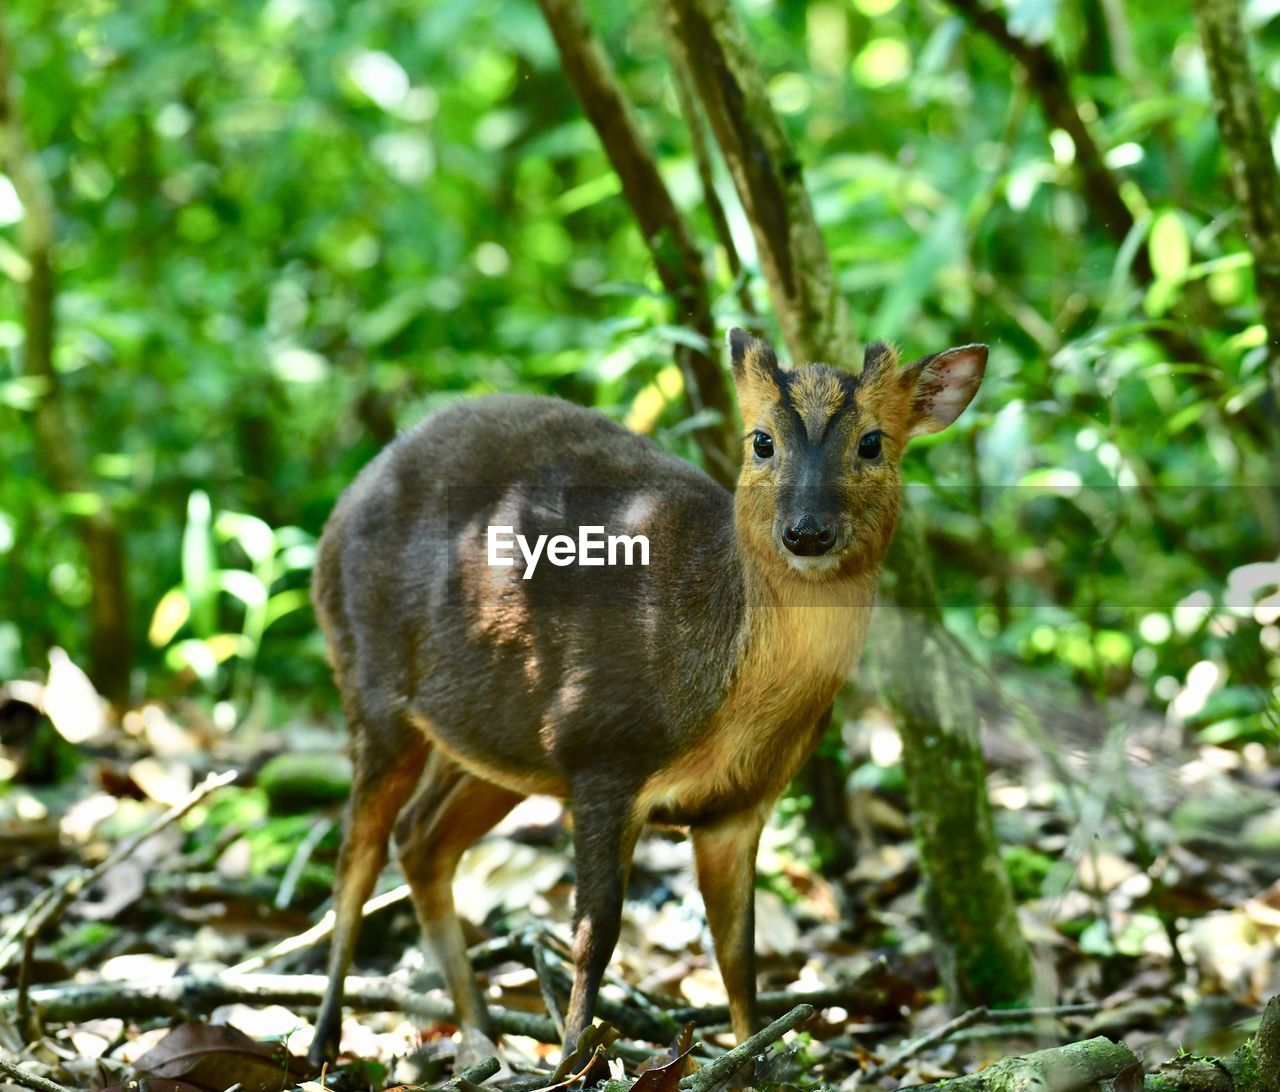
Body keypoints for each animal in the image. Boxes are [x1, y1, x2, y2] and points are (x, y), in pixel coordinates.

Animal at [309, 330, 988, 1065]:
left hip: (495, 741)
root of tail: (340, 507)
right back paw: (323, 1046)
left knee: (421, 839)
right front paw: (573, 1064)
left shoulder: (739, 805)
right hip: (371, 686)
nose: (807, 532)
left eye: (872, 443)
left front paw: (750, 1057)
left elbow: (738, 956)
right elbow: (594, 935)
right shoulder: (601, 751)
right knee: (356, 857)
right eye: (761, 441)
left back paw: (482, 1036)